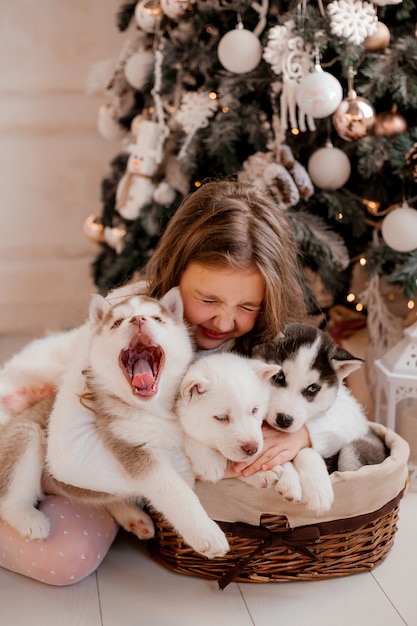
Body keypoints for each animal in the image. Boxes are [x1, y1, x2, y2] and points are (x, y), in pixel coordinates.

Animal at [0, 288, 228, 556]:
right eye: (118, 322)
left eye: (157, 318)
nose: (138, 319)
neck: (152, 408)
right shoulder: (129, 443)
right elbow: (175, 490)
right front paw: (207, 533)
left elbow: (190, 428)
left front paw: (208, 460)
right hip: (26, 434)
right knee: (7, 498)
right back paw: (28, 518)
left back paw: (133, 517)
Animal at [249, 322, 386, 512]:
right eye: (279, 376)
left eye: (313, 388)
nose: (284, 419)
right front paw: (289, 481)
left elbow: (305, 449)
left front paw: (317, 490)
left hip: (354, 449)